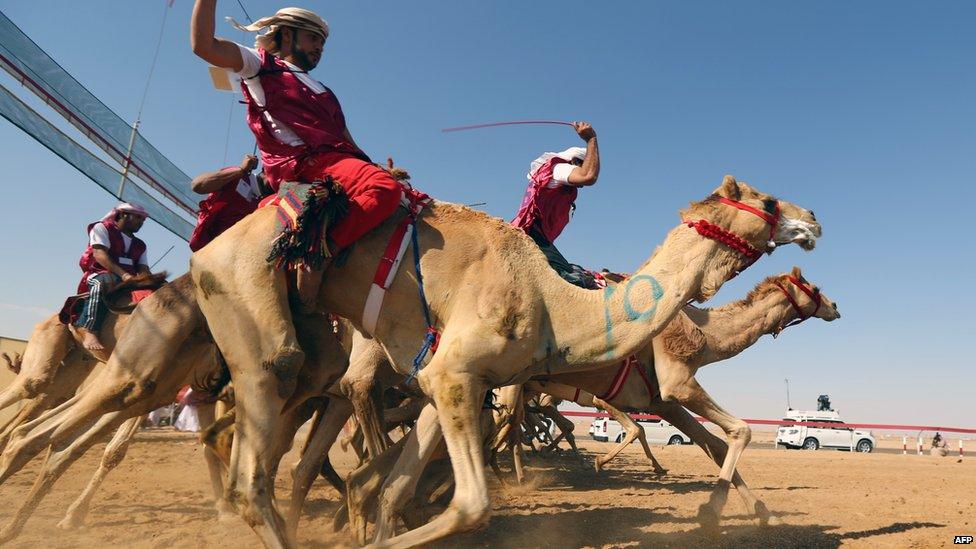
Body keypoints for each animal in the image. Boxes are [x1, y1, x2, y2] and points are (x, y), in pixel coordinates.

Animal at [528, 266, 840, 528]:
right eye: (815, 287)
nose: (835, 307)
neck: (707, 335)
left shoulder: (660, 400)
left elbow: (714, 445)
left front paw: (765, 513)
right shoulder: (677, 385)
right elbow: (741, 430)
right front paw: (712, 509)